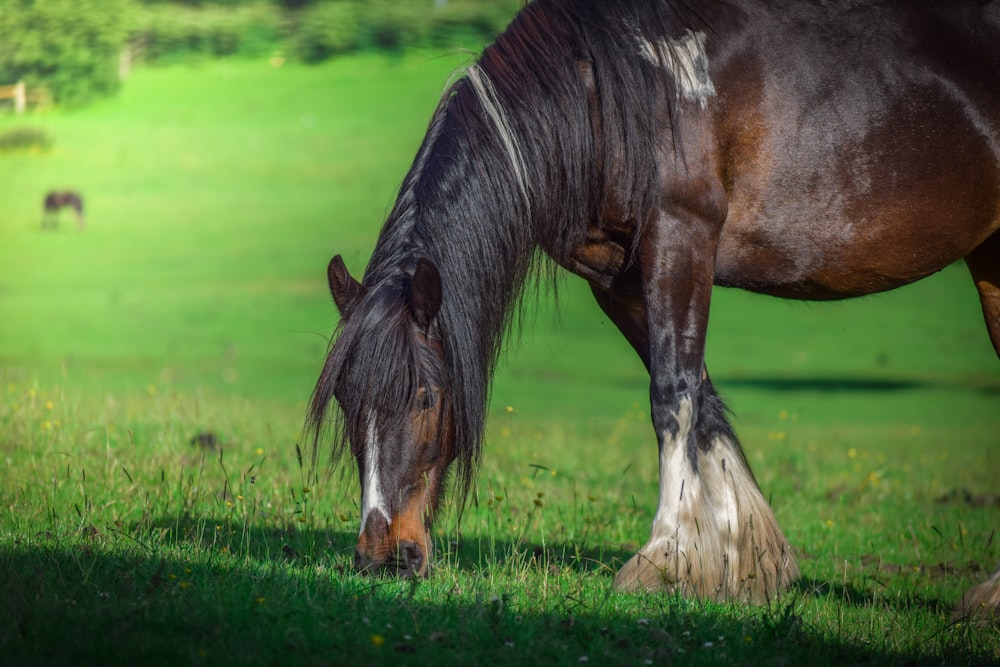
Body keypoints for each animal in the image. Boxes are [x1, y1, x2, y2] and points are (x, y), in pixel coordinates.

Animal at [306, 0, 1000, 620]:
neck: (606, 89)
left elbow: (672, 395)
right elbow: (701, 396)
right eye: (345, 399)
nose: (383, 554)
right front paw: (743, 562)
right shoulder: (620, 280)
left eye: (425, 397)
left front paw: (665, 557)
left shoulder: (680, 235)